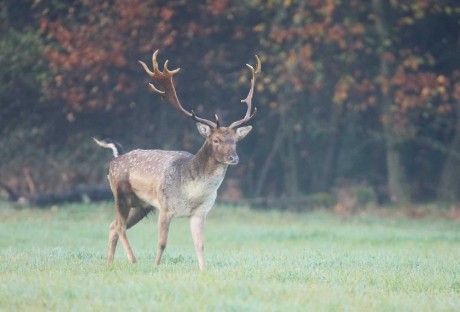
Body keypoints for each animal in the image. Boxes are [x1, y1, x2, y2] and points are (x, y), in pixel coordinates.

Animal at [95, 50, 260, 270]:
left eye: (235, 140)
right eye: (216, 139)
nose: (234, 157)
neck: (192, 193)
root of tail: (116, 158)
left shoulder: (200, 212)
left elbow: (200, 245)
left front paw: (203, 271)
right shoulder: (165, 207)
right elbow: (162, 243)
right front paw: (156, 267)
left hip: (141, 205)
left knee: (113, 225)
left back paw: (109, 263)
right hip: (120, 193)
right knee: (120, 226)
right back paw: (133, 260)